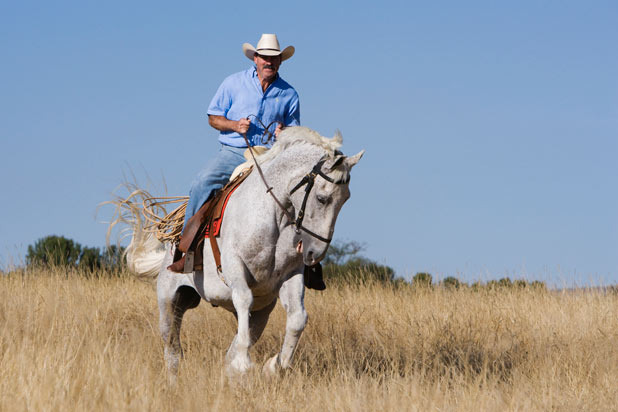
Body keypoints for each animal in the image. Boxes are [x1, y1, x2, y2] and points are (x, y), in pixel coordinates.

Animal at [121, 125, 360, 376]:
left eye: (346, 199)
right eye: (322, 198)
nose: (316, 252)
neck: (273, 215)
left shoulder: (291, 274)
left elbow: (297, 318)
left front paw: (274, 366)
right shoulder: (235, 266)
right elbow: (244, 298)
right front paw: (244, 363)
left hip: (259, 315)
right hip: (170, 302)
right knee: (173, 350)